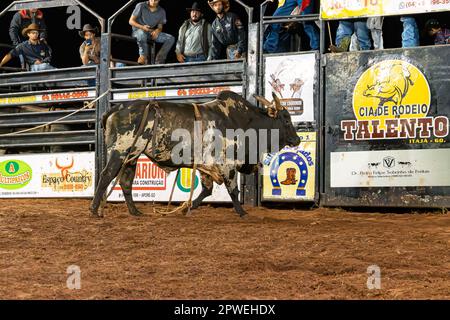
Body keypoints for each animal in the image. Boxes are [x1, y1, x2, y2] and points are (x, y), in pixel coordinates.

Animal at [89, 91, 300, 219]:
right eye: (286, 120)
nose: (297, 140)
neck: (239, 121)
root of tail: (117, 108)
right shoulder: (228, 164)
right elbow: (232, 190)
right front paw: (242, 213)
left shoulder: (205, 165)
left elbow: (207, 189)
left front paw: (186, 208)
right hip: (120, 151)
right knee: (106, 175)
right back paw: (94, 210)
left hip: (132, 155)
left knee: (125, 182)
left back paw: (135, 211)